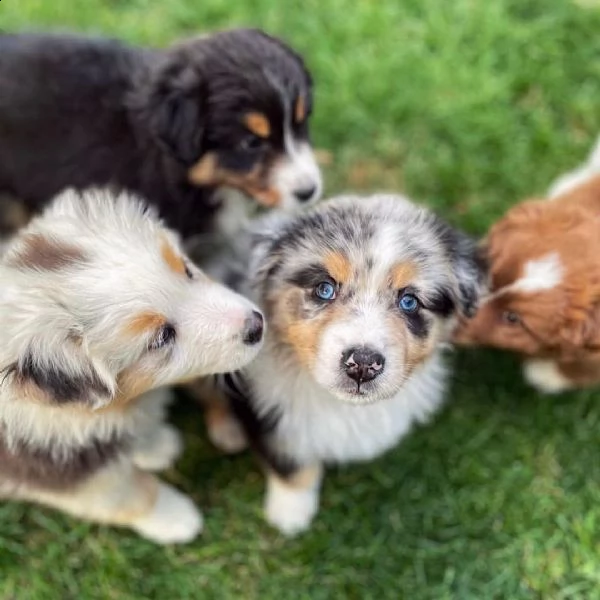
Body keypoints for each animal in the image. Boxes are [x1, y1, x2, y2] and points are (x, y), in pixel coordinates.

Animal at [0, 188, 262, 544]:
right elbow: (130, 496)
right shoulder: (60, 468)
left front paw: (157, 445)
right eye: (162, 337)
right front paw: (178, 519)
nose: (257, 325)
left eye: (187, 270)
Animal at [198, 192, 488, 536]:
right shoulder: (266, 411)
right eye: (324, 289)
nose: (362, 364)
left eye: (409, 301)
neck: (343, 406)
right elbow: (290, 463)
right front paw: (290, 515)